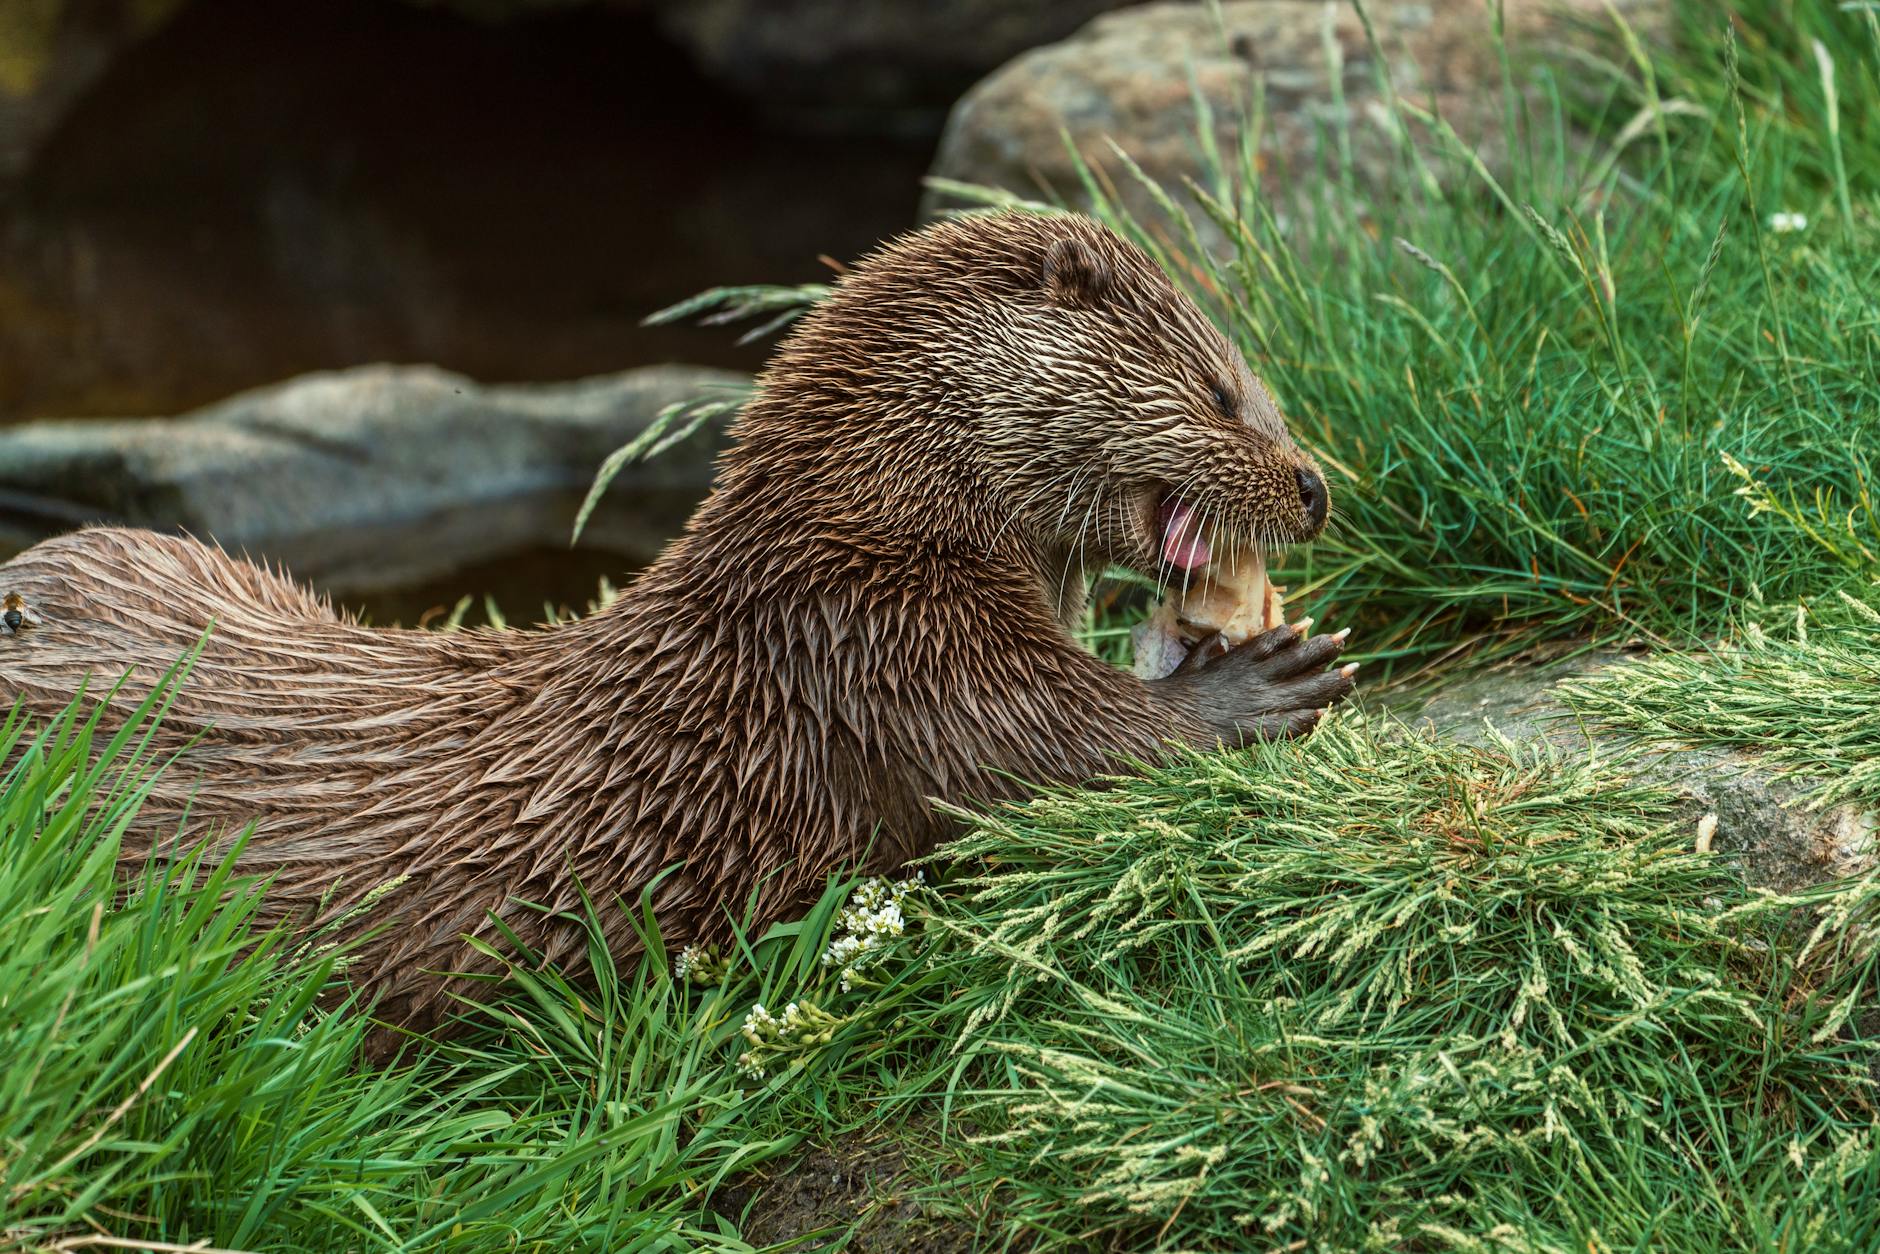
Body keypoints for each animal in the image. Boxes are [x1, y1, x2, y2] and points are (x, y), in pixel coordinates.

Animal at [0, 210, 1353, 1022]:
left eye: (1259, 384)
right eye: (1223, 392)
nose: (1315, 486)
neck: (862, 537)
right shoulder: (885, 644)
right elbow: (1060, 751)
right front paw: (1264, 682)